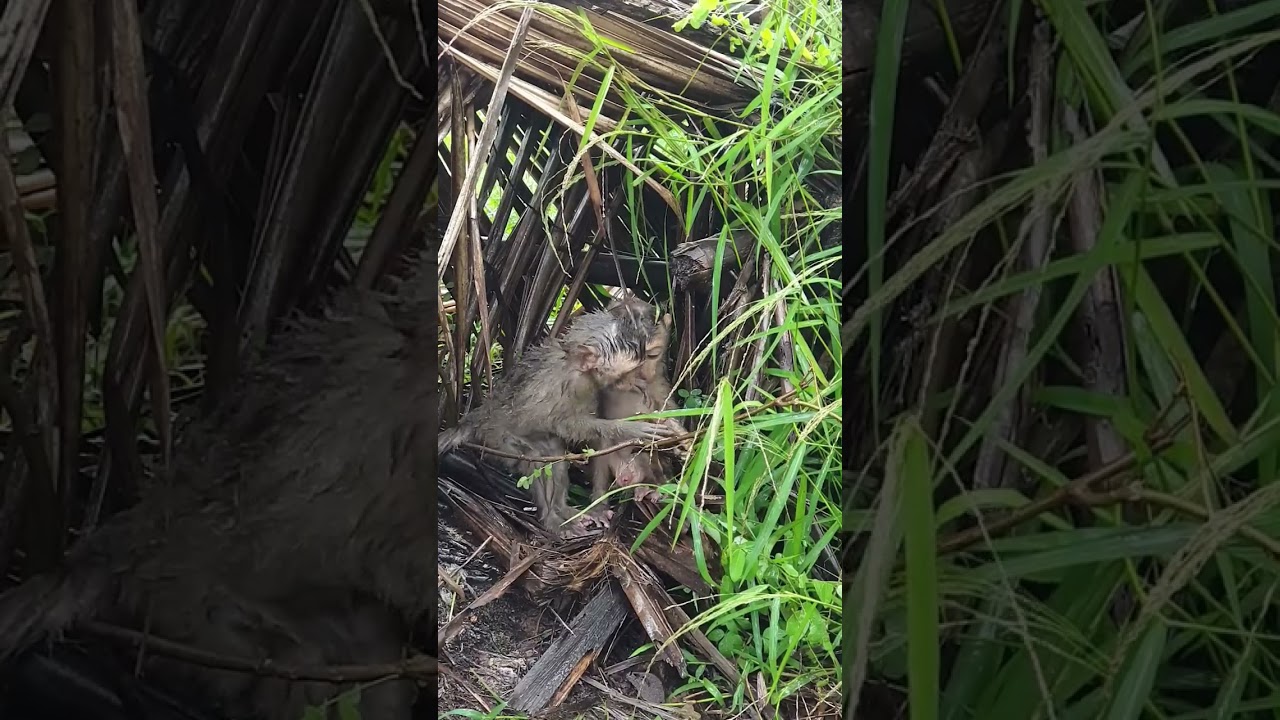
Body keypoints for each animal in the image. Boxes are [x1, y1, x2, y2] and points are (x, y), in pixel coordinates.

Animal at [438, 307, 678, 536]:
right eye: (627, 371)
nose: (638, 383)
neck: (574, 364)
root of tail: (479, 415)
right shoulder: (577, 385)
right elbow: (566, 425)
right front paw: (630, 429)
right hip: (495, 437)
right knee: (534, 458)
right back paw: (552, 520)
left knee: (554, 454)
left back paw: (562, 509)